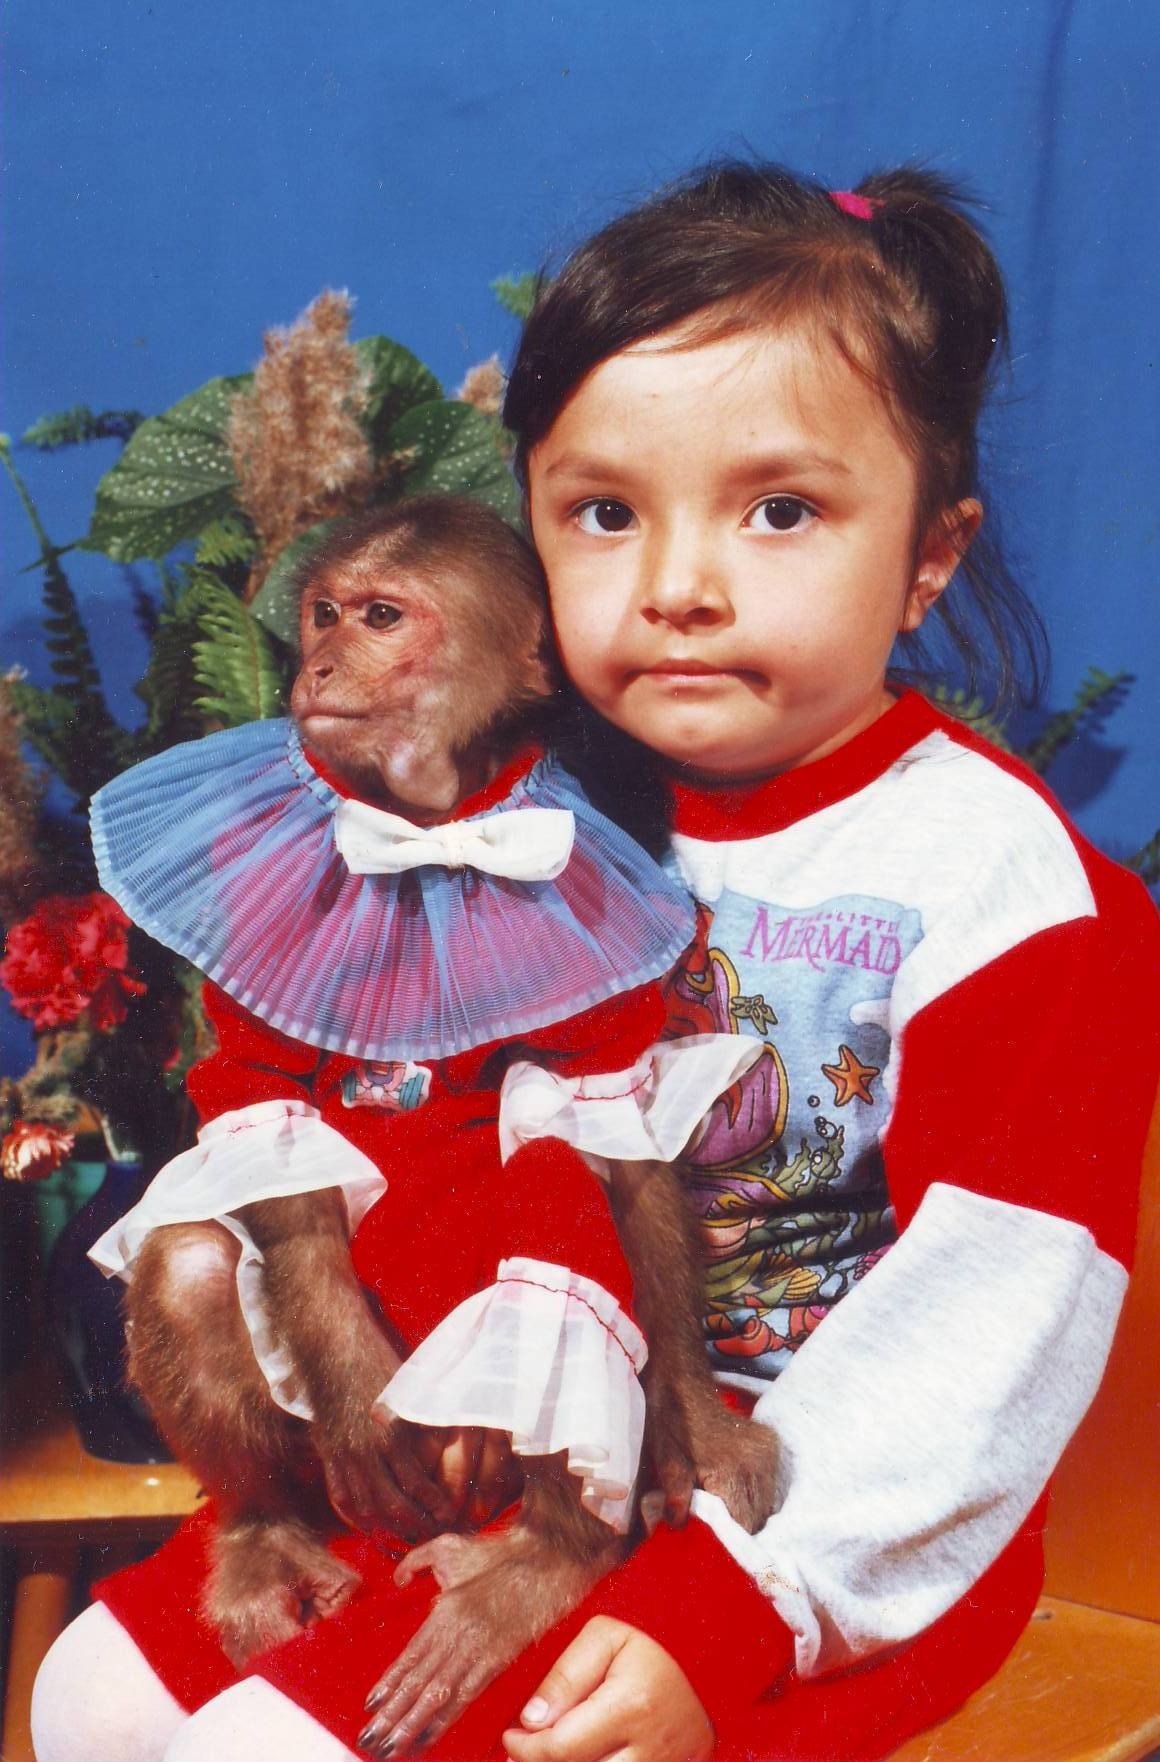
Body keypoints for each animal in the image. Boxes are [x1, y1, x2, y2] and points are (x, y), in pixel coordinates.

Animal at [93, 494, 778, 1741]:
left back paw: (546, 1561)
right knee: (190, 1260)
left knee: (546, 1173)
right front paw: (359, 1399)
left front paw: (693, 1426)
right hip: (344, 1479)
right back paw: (264, 1534)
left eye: (380, 618)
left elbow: (608, 1132)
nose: (314, 662)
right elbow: (257, 1101)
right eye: (323, 611)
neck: (430, 821)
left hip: (481, 1463)